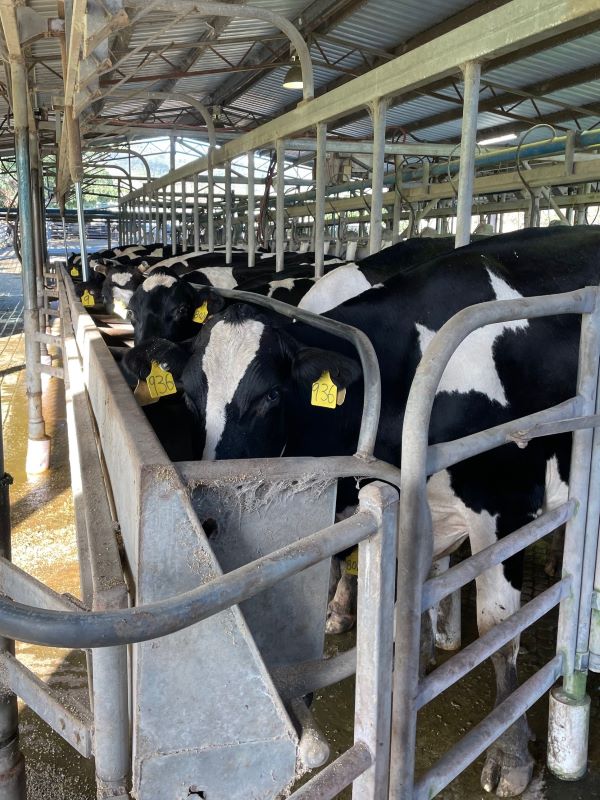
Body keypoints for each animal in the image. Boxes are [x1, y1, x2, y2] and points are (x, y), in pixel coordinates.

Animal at [124, 227, 600, 800]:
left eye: (270, 396)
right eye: (193, 396)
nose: (212, 507)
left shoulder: (506, 505)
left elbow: (499, 628)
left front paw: (510, 758)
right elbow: (386, 590)